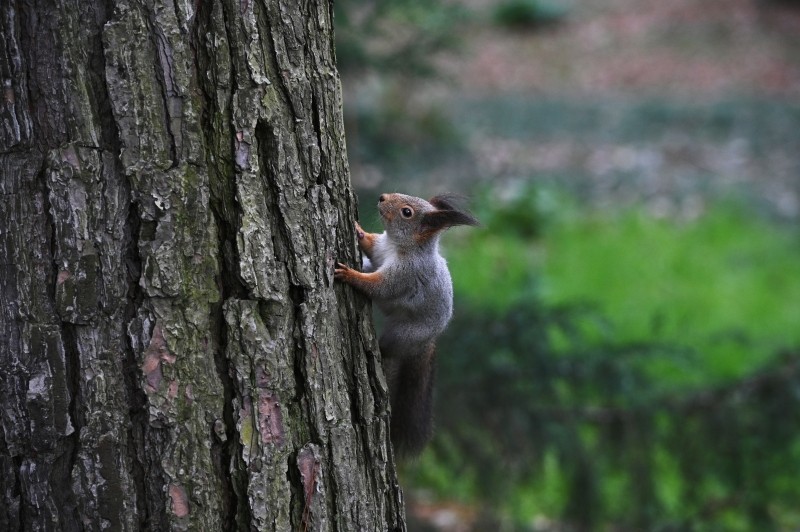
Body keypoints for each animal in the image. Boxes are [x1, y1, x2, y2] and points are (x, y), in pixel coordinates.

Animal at [334, 193, 478, 456]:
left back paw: (379, 352)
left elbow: (378, 287)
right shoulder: (380, 248)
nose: (382, 197)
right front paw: (359, 231)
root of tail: (427, 342)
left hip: (404, 334)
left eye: (407, 212)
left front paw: (350, 274)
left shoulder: (405, 275)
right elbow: (371, 246)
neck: (398, 247)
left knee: (389, 349)